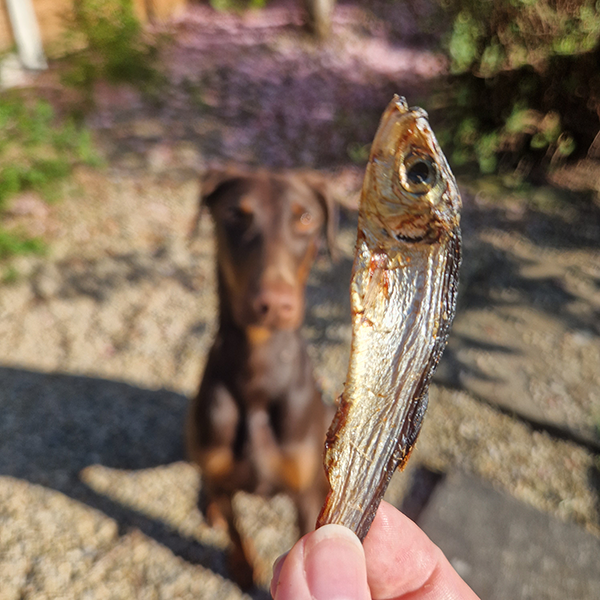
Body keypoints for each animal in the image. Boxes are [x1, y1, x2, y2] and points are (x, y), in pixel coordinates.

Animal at [186, 165, 336, 584]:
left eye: (305, 218)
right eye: (236, 215)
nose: (274, 304)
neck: (258, 371)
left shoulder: (303, 497)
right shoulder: (221, 474)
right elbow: (236, 531)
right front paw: (242, 567)